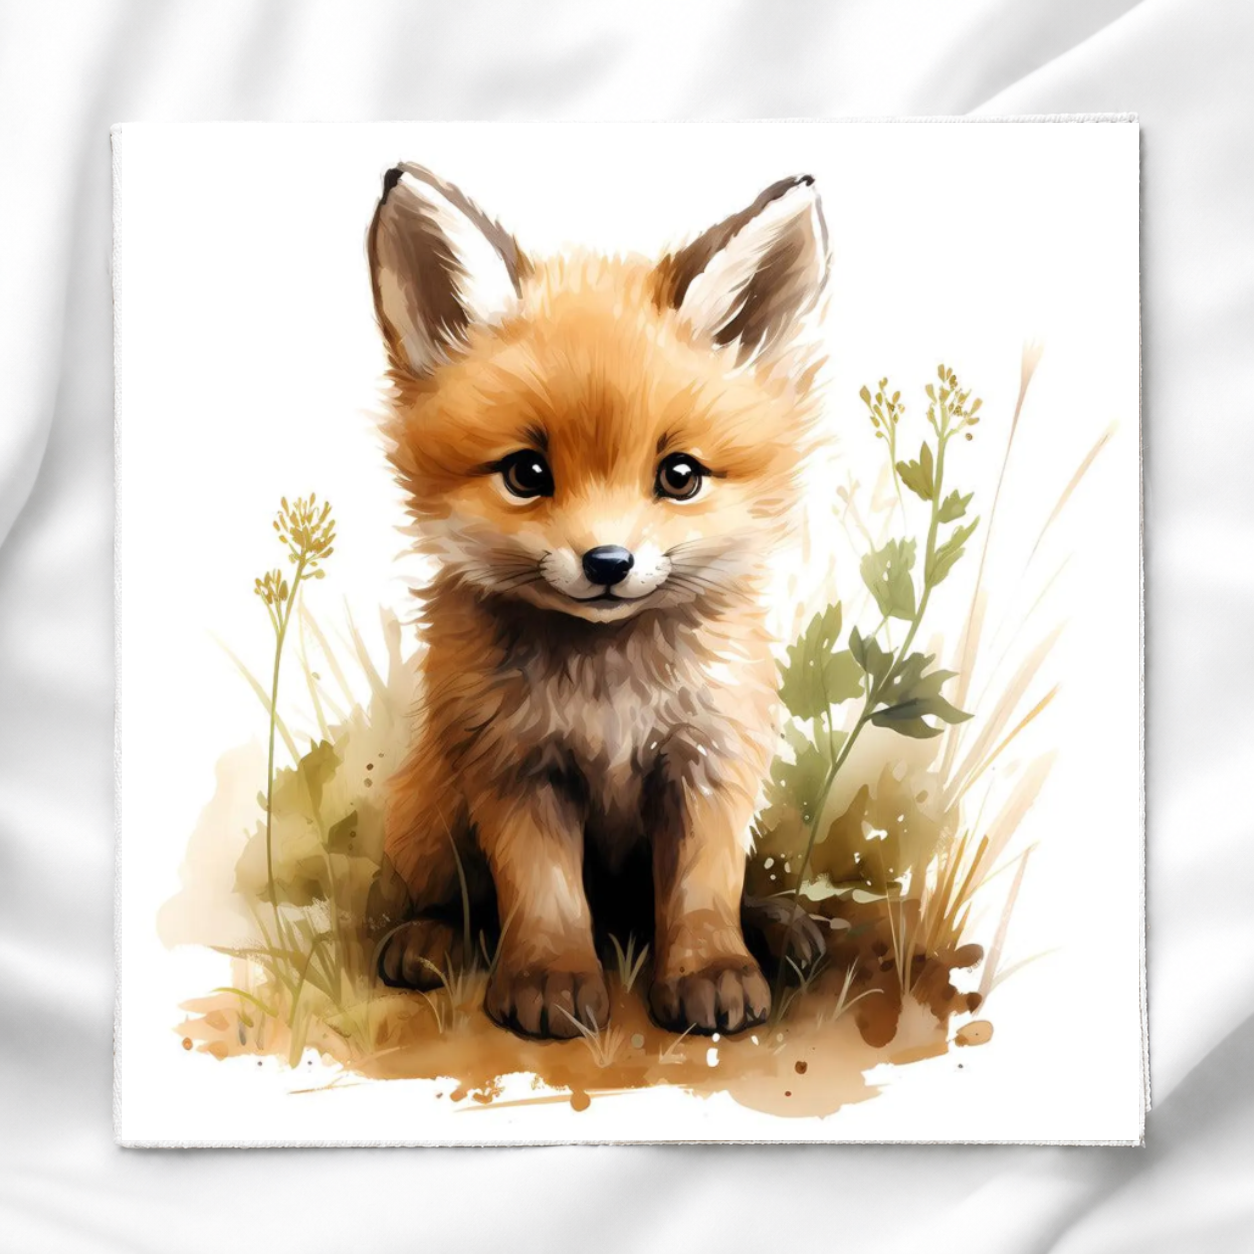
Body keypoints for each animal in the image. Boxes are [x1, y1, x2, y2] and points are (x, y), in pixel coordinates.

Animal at [364, 162, 830, 1040]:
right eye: (527, 474)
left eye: (679, 476)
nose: (608, 562)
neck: (610, 688)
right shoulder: (516, 767)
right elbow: (544, 894)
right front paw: (550, 980)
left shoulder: (709, 758)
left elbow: (705, 888)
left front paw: (710, 970)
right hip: (435, 810)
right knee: (456, 900)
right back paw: (429, 939)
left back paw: (782, 927)